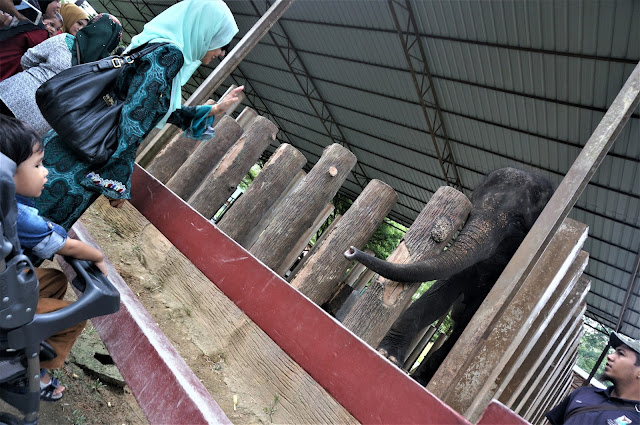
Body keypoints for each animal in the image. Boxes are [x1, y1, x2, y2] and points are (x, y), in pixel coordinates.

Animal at [344, 166, 556, 384]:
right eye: (471, 207)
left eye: (519, 223)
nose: (351, 250)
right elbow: (440, 292)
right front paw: (386, 355)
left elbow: (469, 325)